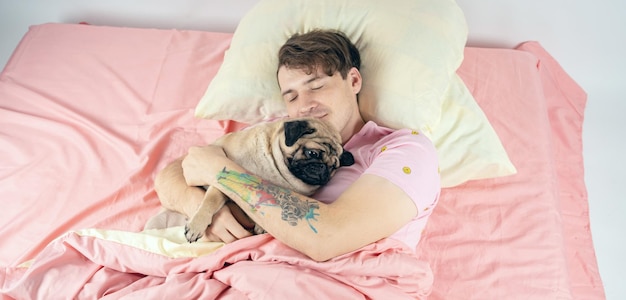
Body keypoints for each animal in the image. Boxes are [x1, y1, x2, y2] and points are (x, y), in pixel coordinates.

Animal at [152, 117, 354, 244]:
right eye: (312, 153)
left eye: (334, 167)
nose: (322, 170)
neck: (273, 169)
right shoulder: (223, 178)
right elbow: (210, 202)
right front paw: (196, 225)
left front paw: (260, 225)